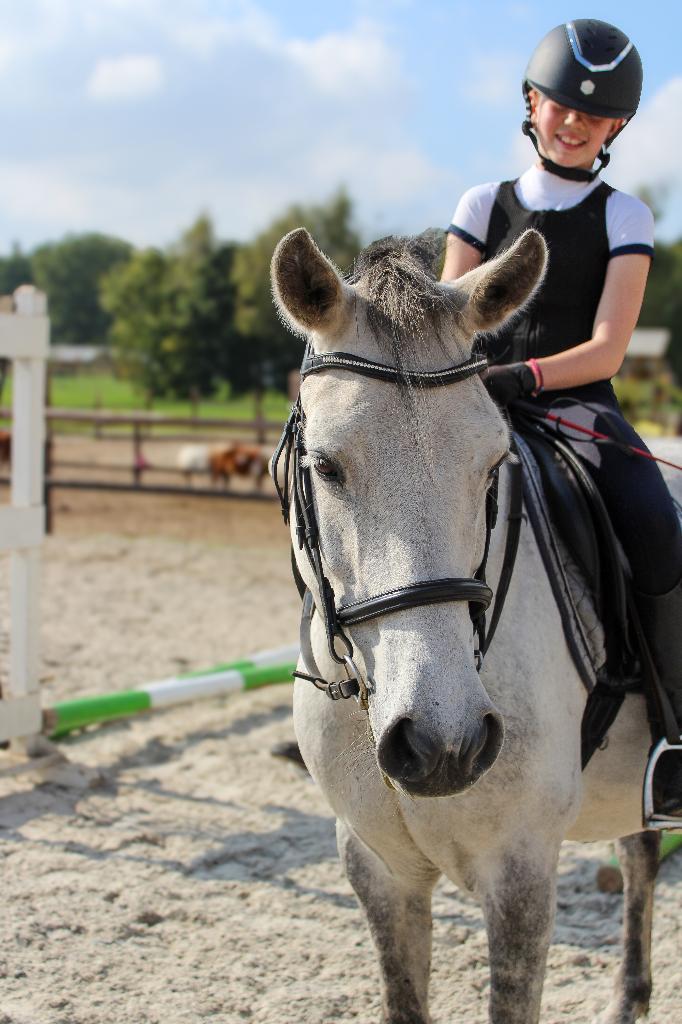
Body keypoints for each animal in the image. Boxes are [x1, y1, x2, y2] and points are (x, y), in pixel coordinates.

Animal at [270, 226, 682, 1024]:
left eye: (494, 464)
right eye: (326, 466)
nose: (445, 745)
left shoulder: (520, 872)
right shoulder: (377, 868)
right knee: (639, 853)